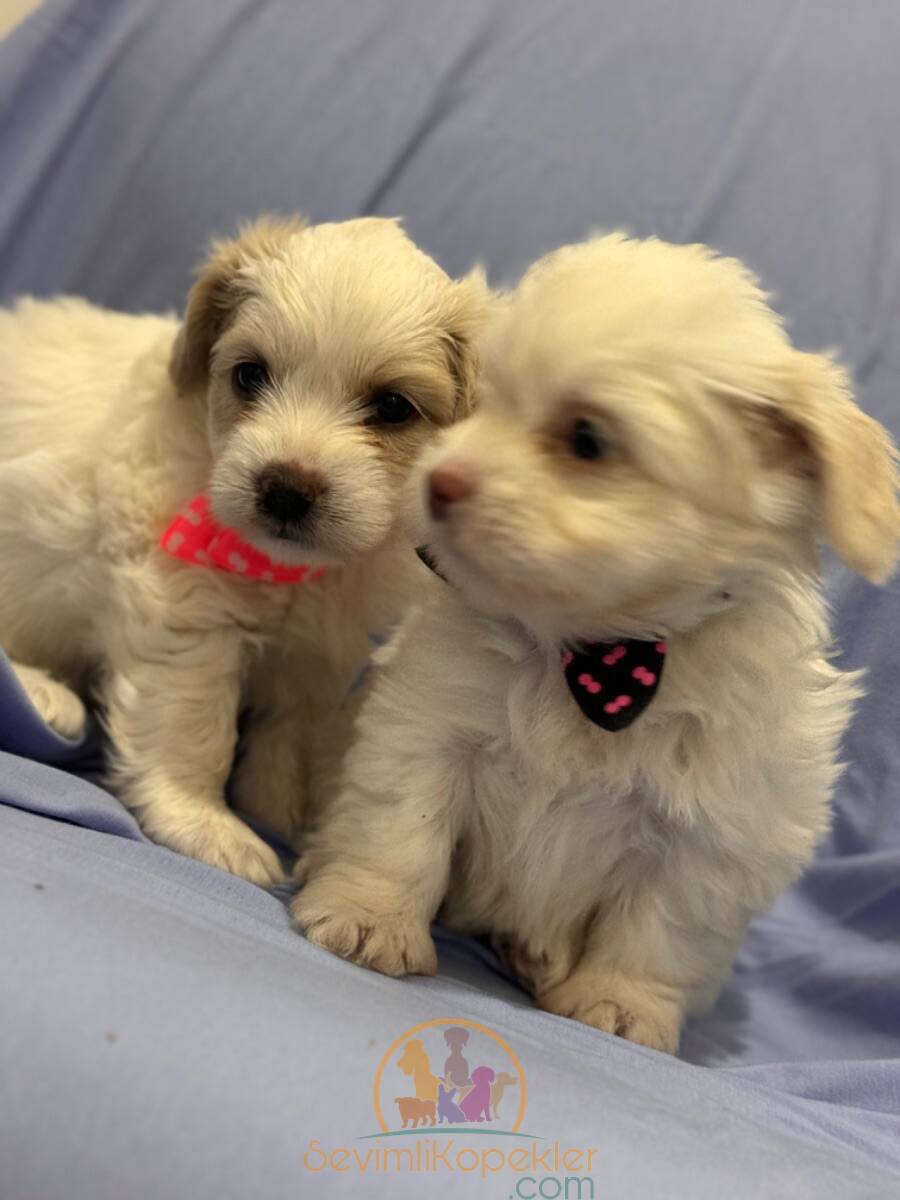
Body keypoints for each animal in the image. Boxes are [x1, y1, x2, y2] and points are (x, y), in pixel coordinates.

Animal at [0, 216, 489, 888]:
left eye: (392, 406)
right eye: (249, 375)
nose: (285, 488)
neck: (297, 572)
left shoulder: (315, 660)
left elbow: (287, 742)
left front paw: (279, 817)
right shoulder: (184, 608)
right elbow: (193, 724)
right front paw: (206, 823)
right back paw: (44, 695)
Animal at [292, 234, 897, 1051]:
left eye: (587, 440)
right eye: (485, 406)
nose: (438, 480)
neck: (592, 653)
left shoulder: (714, 830)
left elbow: (659, 928)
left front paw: (619, 1004)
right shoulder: (425, 729)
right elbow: (400, 831)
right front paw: (369, 917)